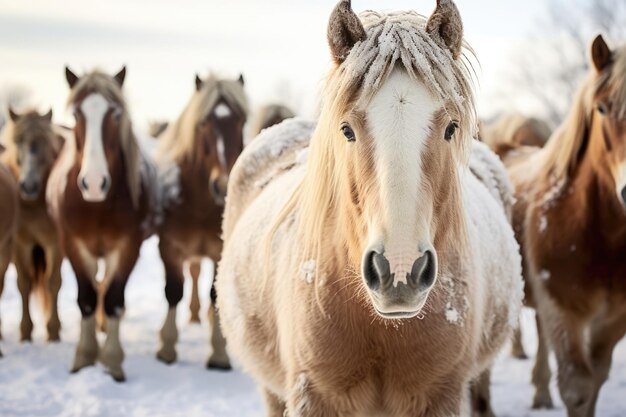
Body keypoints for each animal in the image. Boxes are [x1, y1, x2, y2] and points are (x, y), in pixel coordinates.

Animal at [0, 108, 66, 344]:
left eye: (44, 142)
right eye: (16, 141)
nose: (28, 186)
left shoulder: (55, 243)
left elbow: (53, 282)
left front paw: (53, 332)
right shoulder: (22, 243)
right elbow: (24, 283)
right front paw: (25, 332)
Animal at [47, 66, 160, 382]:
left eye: (116, 114)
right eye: (76, 115)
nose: (95, 183)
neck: (96, 205)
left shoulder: (127, 247)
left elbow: (112, 299)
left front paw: (112, 361)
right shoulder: (73, 246)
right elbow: (87, 297)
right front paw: (84, 357)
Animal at [154, 72, 246, 368]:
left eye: (241, 120)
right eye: (204, 123)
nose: (222, 184)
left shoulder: (219, 251)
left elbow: (214, 295)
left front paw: (218, 353)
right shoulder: (169, 248)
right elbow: (174, 291)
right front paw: (167, 347)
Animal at [214, 1, 520, 414]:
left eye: (451, 128)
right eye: (347, 130)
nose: (401, 272)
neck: (380, 328)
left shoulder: (440, 395)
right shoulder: (314, 395)